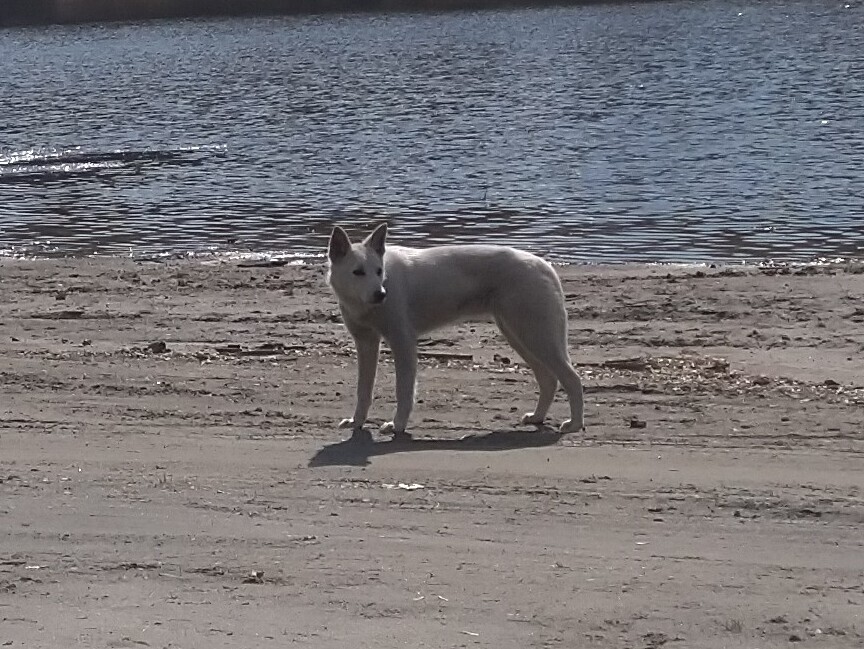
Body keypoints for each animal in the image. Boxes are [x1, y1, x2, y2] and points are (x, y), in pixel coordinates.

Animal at [327, 223, 584, 438]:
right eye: (358, 272)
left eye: (379, 271)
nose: (380, 294)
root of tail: (544, 266)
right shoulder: (366, 344)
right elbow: (364, 391)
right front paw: (357, 422)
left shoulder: (403, 344)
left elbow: (404, 391)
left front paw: (397, 425)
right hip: (520, 336)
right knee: (549, 380)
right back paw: (538, 417)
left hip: (535, 336)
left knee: (572, 379)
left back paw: (574, 424)